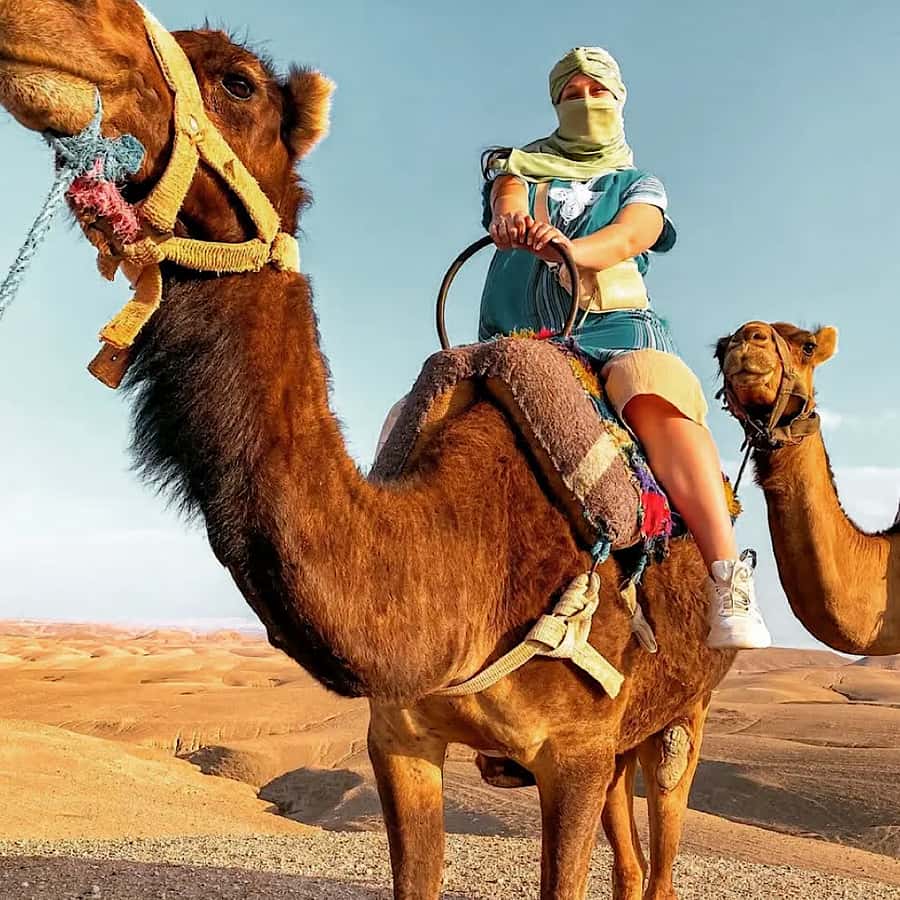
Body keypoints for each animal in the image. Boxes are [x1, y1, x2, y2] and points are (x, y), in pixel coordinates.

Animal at [0, 2, 737, 897]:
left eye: (238, 82)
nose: (44, 21)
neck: (463, 549)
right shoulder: (401, 736)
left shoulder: (577, 751)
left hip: (683, 712)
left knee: (662, 839)